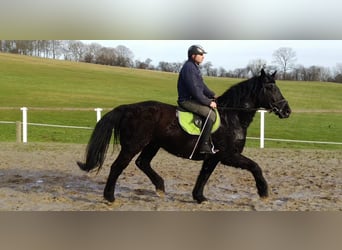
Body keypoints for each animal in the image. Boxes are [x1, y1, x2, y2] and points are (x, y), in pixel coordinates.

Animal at [77, 69, 292, 204]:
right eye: (271, 88)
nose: (287, 111)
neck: (232, 117)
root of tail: (128, 108)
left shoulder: (213, 157)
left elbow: (204, 175)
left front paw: (199, 197)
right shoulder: (229, 156)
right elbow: (255, 166)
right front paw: (263, 192)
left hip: (152, 145)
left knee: (142, 163)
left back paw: (160, 187)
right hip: (133, 145)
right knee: (117, 167)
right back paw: (110, 197)